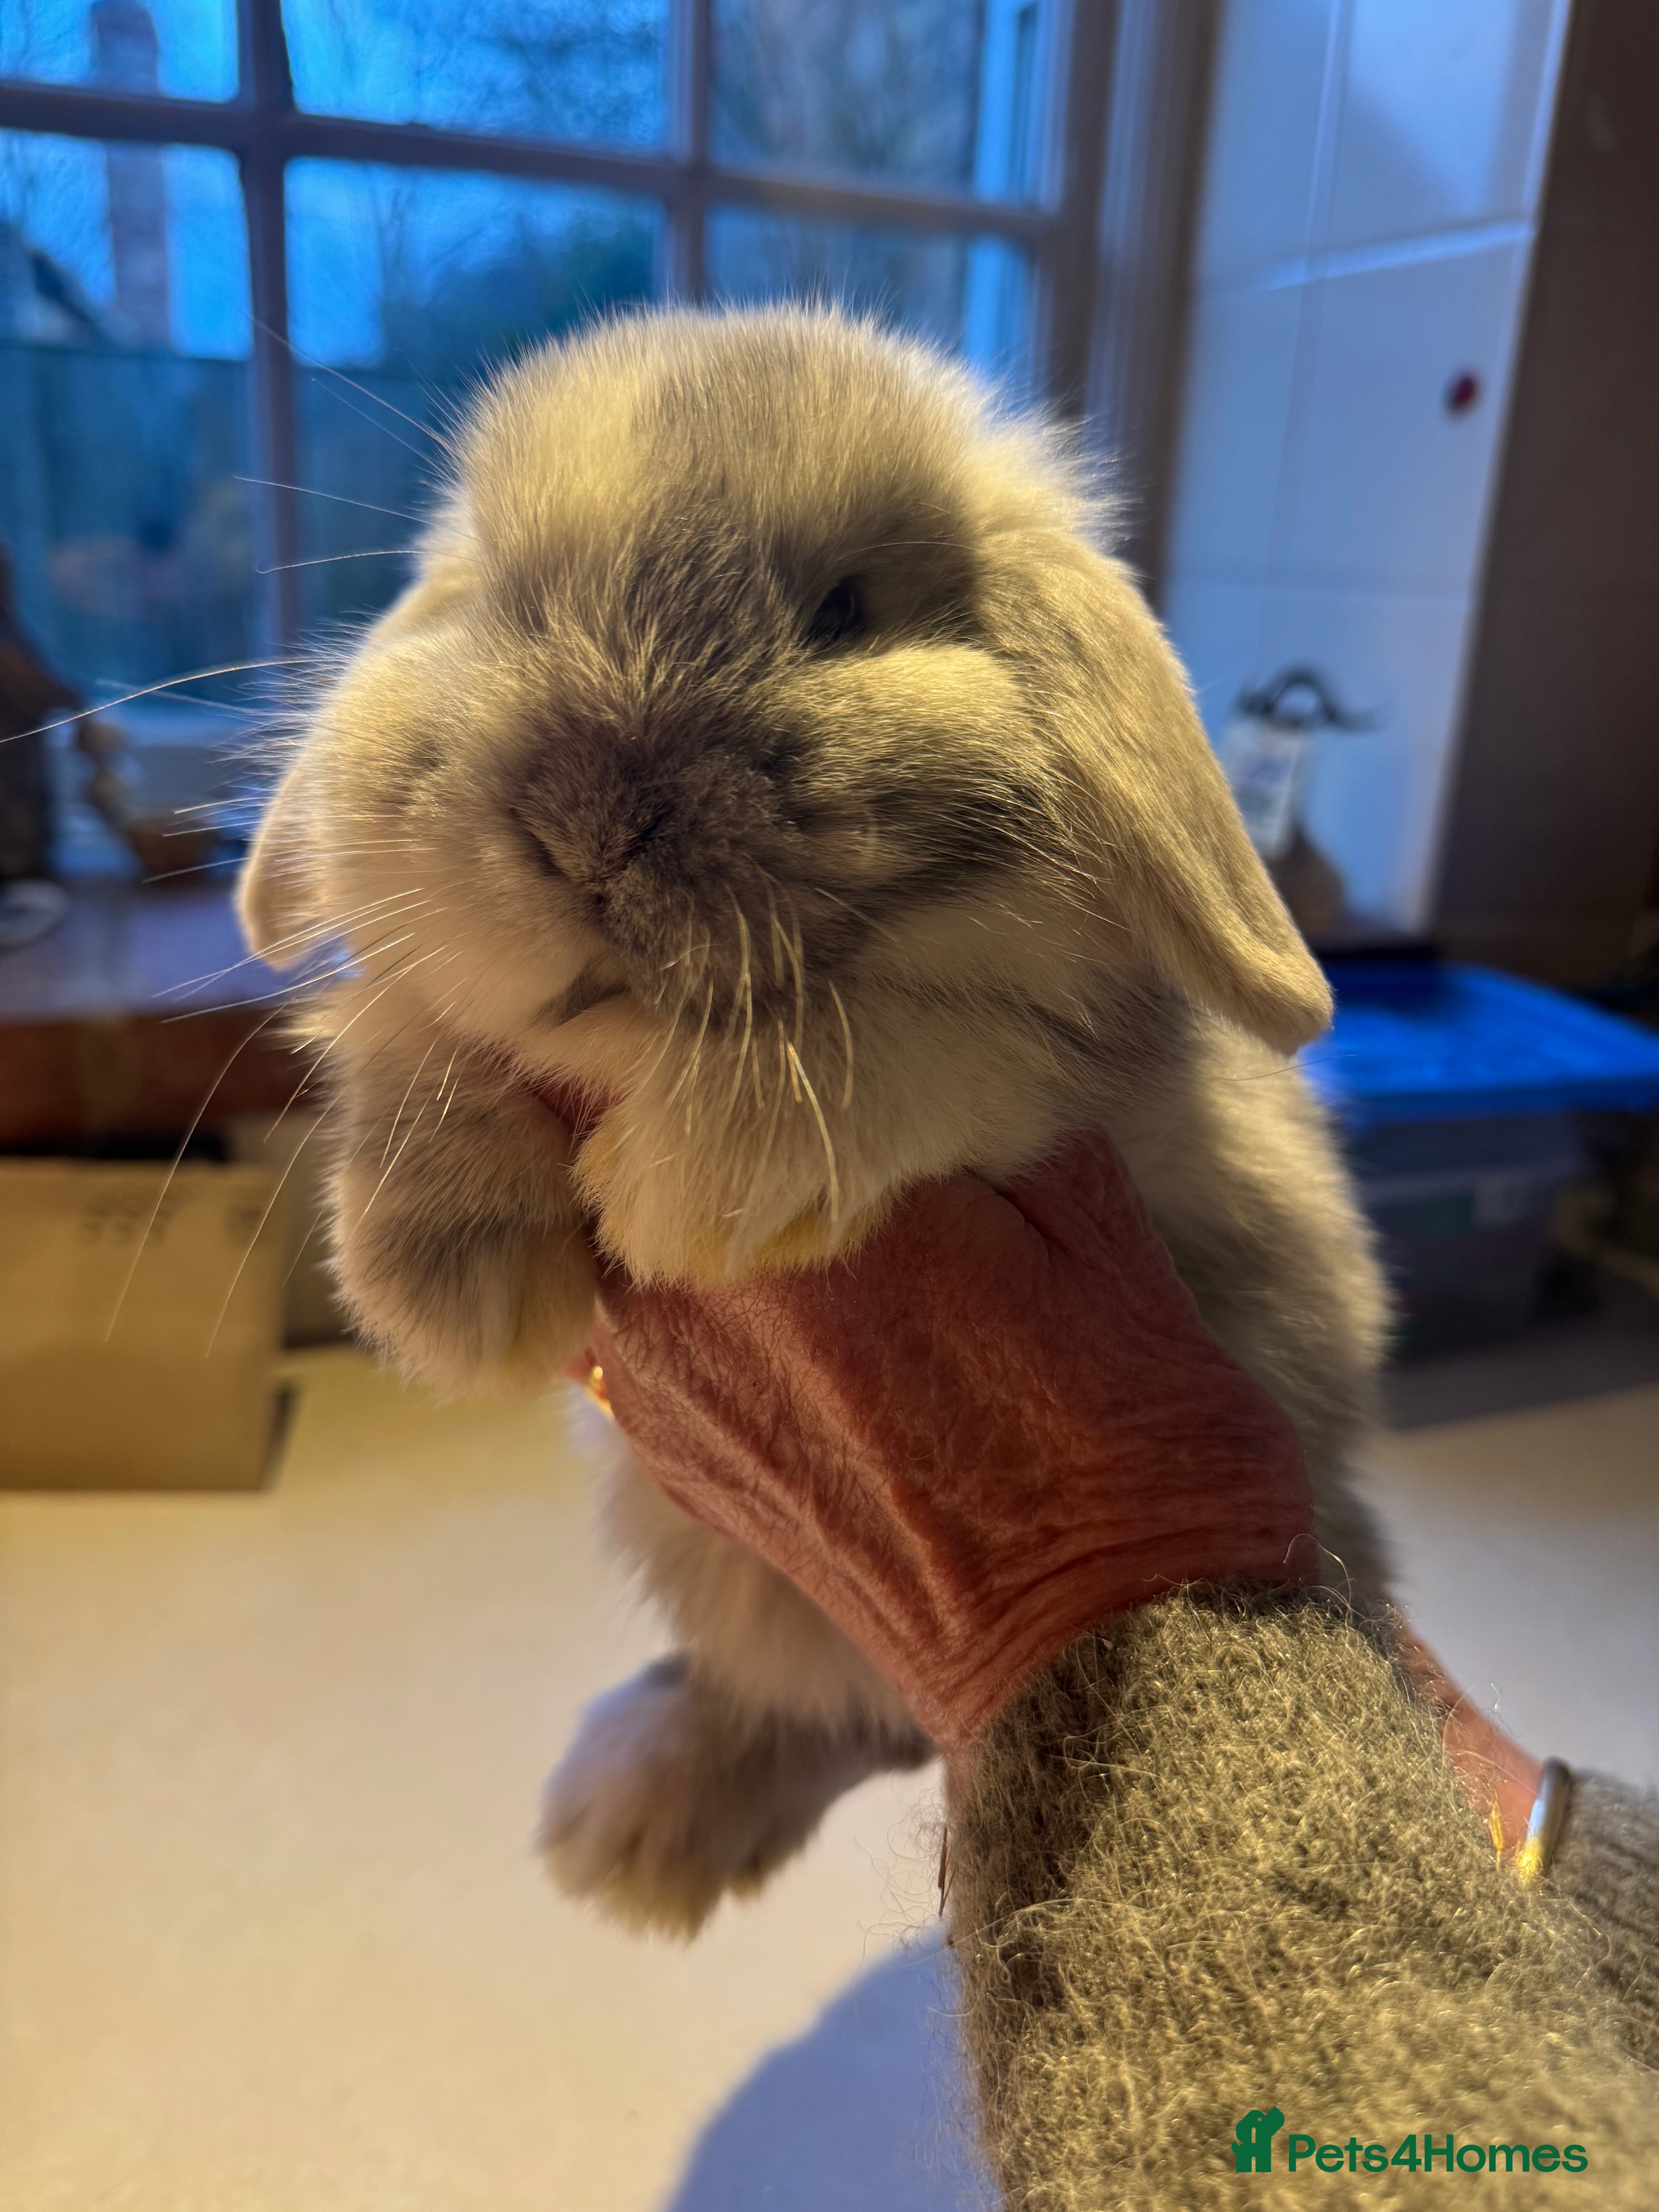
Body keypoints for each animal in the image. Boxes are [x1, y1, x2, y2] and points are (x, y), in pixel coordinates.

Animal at [238, 305, 1390, 1936]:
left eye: (844, 611)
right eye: (507, 601)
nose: (584, 830)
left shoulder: (1077, 1087)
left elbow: (916, 1039)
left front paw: (686, 1186)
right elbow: (420, 1032)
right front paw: (446, 1285)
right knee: (798, 1708)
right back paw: (633, 1829)